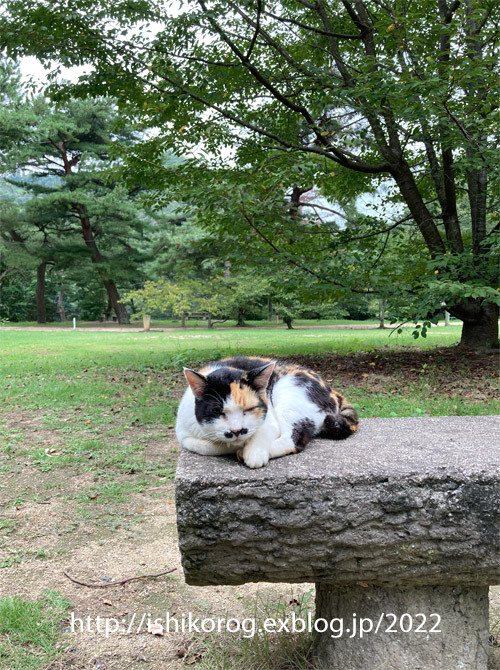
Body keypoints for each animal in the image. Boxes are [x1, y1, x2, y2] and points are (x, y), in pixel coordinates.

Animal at [174, 356, 358, 468]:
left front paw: (253, 452)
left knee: (295, 438)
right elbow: (206, 446)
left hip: (289, 390)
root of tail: (333, 391)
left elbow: (262, 432)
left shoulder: (269, 419)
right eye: (217, 411)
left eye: (249, 409)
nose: (237, 431)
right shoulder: (184, 435)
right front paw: (236, 446)